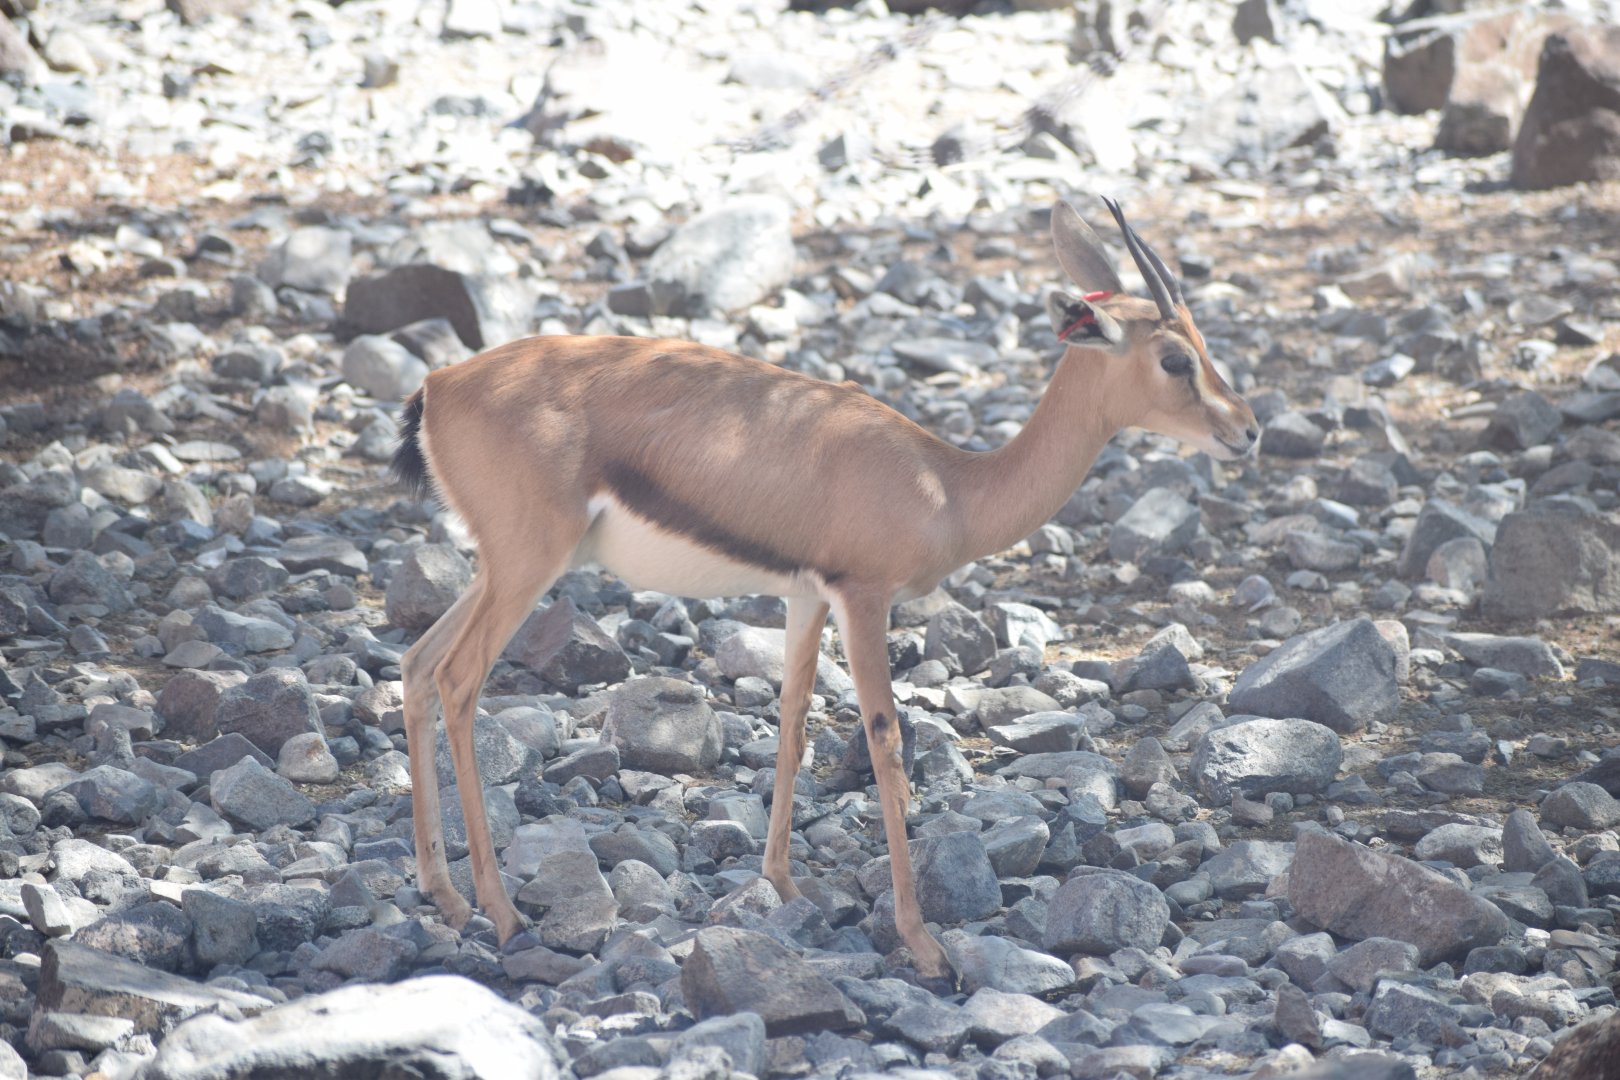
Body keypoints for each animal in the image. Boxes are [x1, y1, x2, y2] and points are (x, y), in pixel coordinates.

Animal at [391, 196, 1257, 991]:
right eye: (1175, 359)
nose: (1247, 430)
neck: (947, 485)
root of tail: (439, 384)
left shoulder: (806, 597)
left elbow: (794, 719)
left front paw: (782, 884)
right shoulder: (865, 597)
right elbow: (886, 744)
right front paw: (923, 944)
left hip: (500, 568)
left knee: (416, 663)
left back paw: (445, 895)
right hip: (528, 565)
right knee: (460, 679)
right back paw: (501, 912)